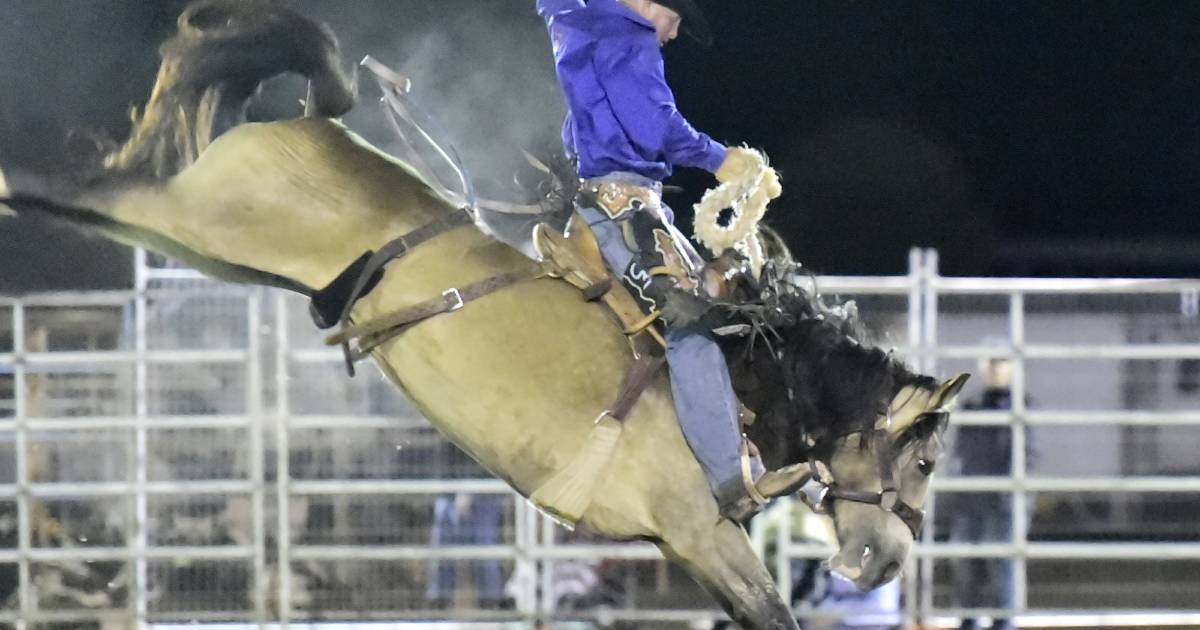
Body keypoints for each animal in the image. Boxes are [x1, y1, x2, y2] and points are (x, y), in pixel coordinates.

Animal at [0, 2, 969, 624]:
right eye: (924, 458)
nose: (884, 561)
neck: (747, 370)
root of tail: (313, 122)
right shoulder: (701, 531)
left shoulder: (679, 547)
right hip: (197, 217)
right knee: (98, 185)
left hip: (215, 244)